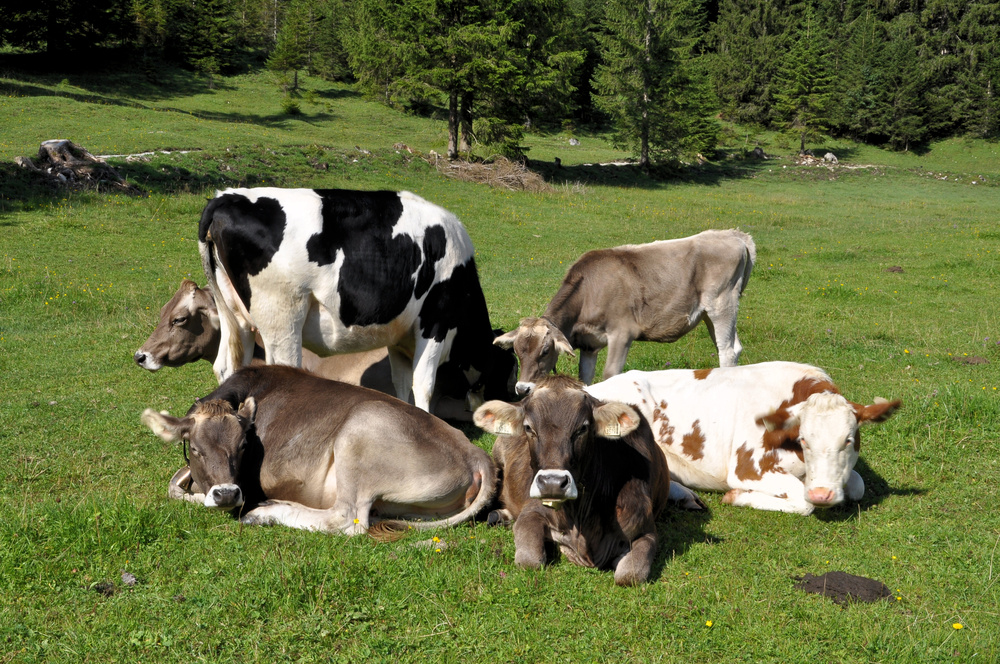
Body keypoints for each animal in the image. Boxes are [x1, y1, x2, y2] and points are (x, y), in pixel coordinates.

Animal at [142, 364, 496, 536]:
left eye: (243, 446)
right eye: (196, 448)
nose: (227, 494)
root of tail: (475, 453)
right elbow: (175, 482)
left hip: (359, 431)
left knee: (348, 519)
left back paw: (265, 513)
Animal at [198, 187, 512, 410]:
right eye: (505, 365)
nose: (507, 396)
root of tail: (226, 197)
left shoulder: (399, 338)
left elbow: (401, 384)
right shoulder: (435, 323)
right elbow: (423, 384)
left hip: (235, 316)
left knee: (227, 367)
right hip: (282, 320)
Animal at [476, 374, 672, 588]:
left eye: (582, 429)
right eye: (528, 428)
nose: (552, 483)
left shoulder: (646, 530)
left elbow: (629, 575)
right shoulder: (532, 511)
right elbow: (530, 561)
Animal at [496, 230, 752, 394]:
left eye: (545, 350)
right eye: (517, 351)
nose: (522, 388)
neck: (590, 290)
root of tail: (734, 234)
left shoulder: (622, 333)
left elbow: (610, 375)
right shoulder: (589, 344)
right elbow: (585, 380)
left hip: (722, 304)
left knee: (727, 350)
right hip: (708, 313)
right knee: (733, 347)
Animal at [584, 364, 904, 512]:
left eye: (848, 440)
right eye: (803, 440)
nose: (822, 493)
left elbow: (858, 486)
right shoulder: (748, 467)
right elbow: (803, 500)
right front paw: (738, 496)